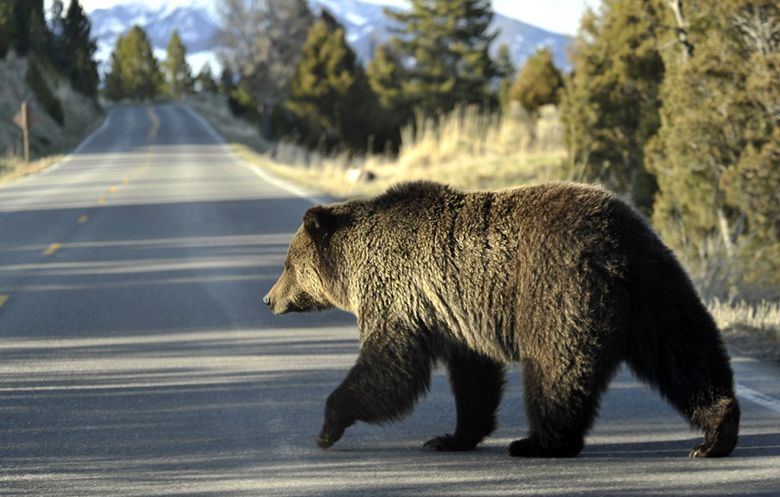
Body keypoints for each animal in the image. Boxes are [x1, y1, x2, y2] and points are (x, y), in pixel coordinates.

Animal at [262, 180, 736, 456]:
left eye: (287, 264)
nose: (269, 299)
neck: (355, 265)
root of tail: (615, 247)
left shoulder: (400, 294)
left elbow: (390, 365)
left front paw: (328, 426)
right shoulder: (454, 316)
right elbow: (474, 379)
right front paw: (451, 437)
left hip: (557, 288)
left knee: (557, 369)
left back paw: (540, 442)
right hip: (657, 287)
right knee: (686, 356)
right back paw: (717, 432)